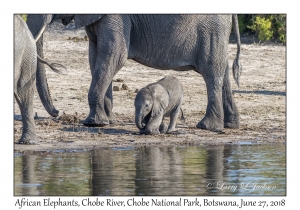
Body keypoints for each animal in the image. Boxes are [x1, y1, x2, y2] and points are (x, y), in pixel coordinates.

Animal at [27, 14, 241, 131]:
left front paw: (94, 123)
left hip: (211, 30)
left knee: (212, 72)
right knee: (222, 71)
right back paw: (230, 124)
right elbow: (95, 57)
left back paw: (207, 126)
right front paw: (109, 120)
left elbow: (114, 55)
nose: (57, 112)